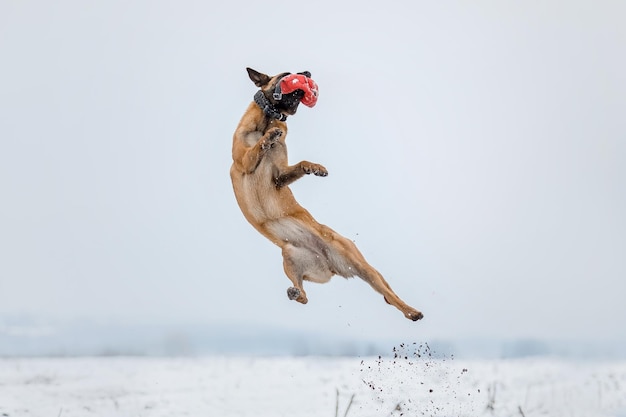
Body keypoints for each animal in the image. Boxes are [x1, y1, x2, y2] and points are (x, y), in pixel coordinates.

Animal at [227, 69, 422, 322]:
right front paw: (269, 138)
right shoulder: (245, 161)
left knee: (389, 294)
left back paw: (411, 311)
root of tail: (329, 263)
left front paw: (315, 167)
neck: (268, 119)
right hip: (289, 258)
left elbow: (297, 161)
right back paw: (294, 292)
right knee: (304, 295)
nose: (307, 72)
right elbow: (256, 148)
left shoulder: (278, 177)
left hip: (360, 265)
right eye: (287, 74)